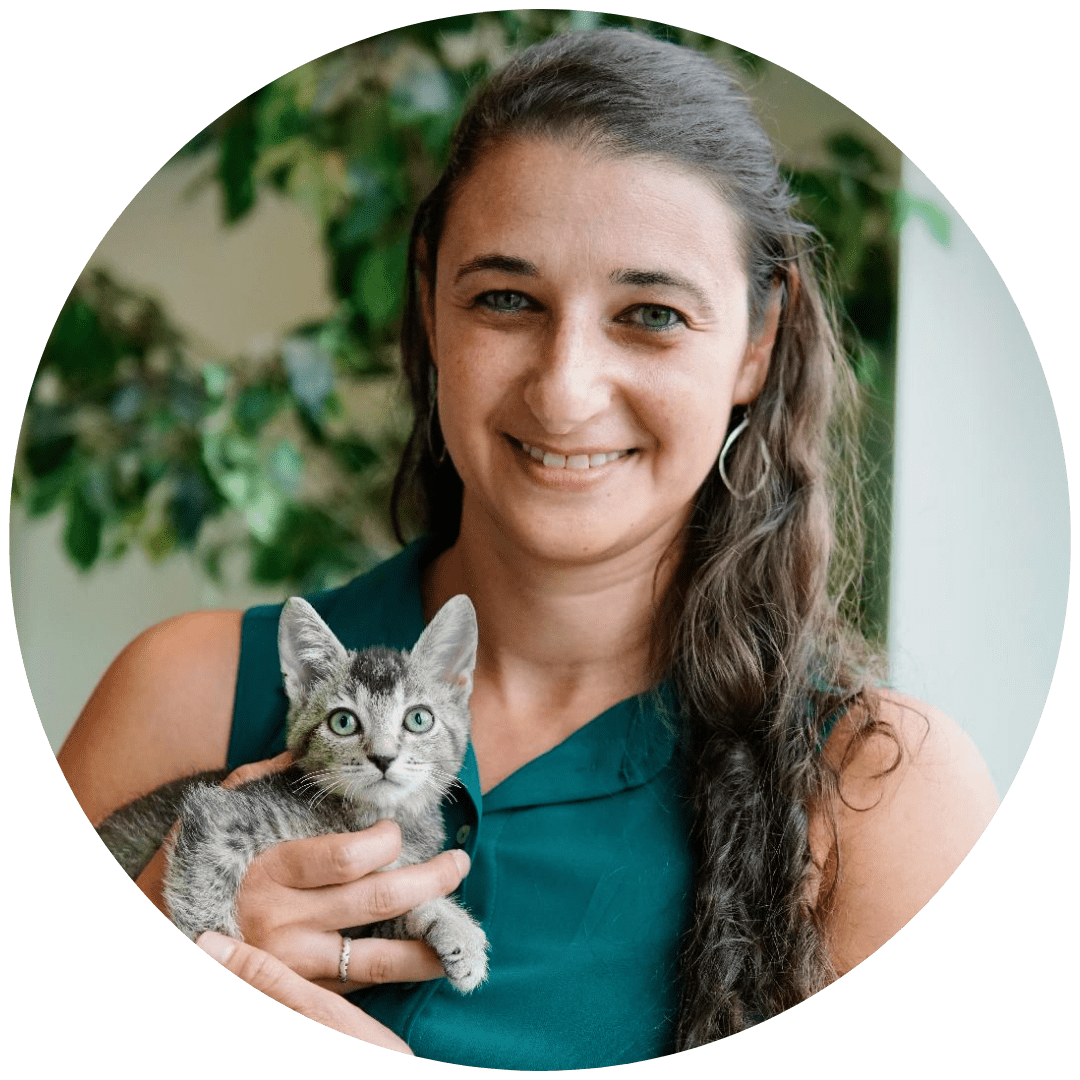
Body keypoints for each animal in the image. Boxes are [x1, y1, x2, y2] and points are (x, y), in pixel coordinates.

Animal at [96, 593, 489, 994]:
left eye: (418, 719)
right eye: (343, 722)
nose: (383, 757)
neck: (372, 816)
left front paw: (456, 929)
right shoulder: (219, 811)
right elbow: (201, 884)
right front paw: (219, 943)